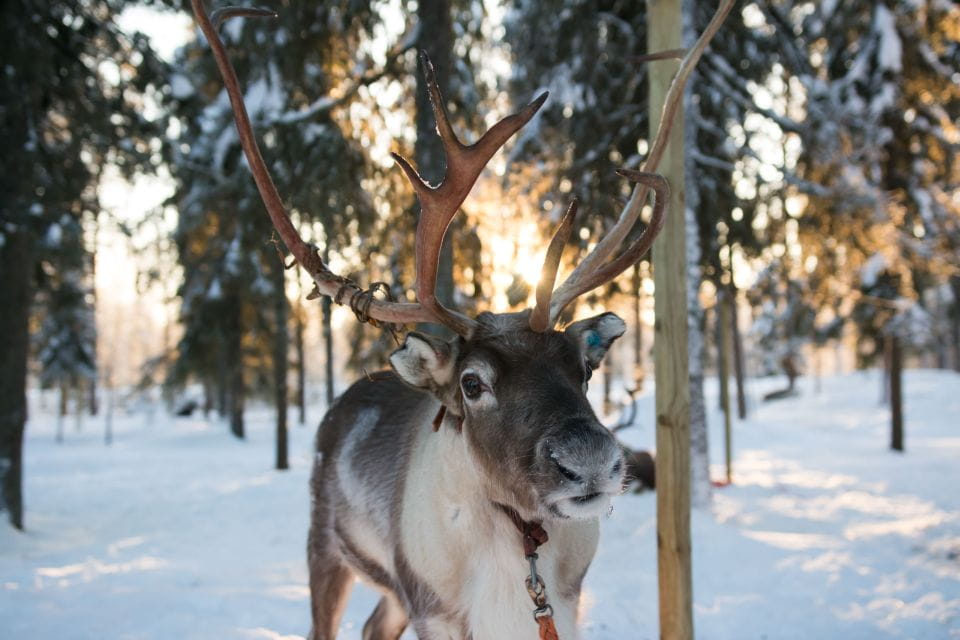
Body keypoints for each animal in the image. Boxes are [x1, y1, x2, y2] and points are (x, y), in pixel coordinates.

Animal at [189, 2, 733, 638]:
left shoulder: (566, 604)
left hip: (394, 593)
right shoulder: (437, 610)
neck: (519, 544)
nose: (590, 463)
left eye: (584, 370)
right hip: (328, 550)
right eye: (472, 384)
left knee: (374, 626)